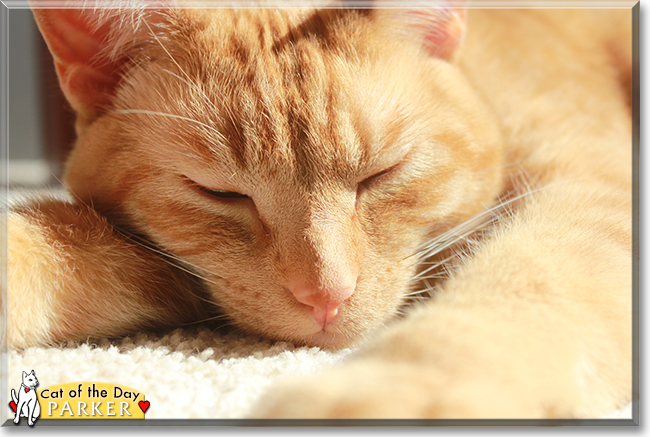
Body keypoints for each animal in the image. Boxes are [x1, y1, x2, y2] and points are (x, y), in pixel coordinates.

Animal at [5, 0, 632, 418]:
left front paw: (396, 392)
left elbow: (526, 287)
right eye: (220, 193)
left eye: (382, 173)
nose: (325, 295)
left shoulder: (594, 197)